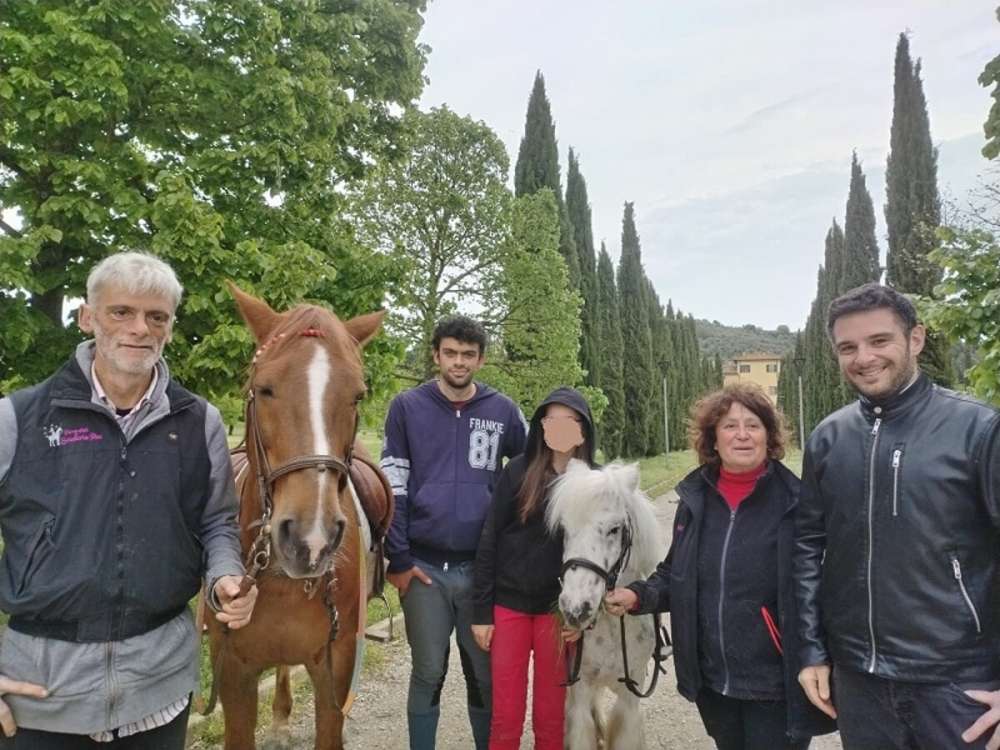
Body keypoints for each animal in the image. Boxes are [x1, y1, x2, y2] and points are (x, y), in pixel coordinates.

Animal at [548, 462, 664, 748]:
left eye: (614, 529)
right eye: (564, 530)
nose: (575, 609)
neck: (612, 627)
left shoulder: (630, 698)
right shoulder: (579, 691)